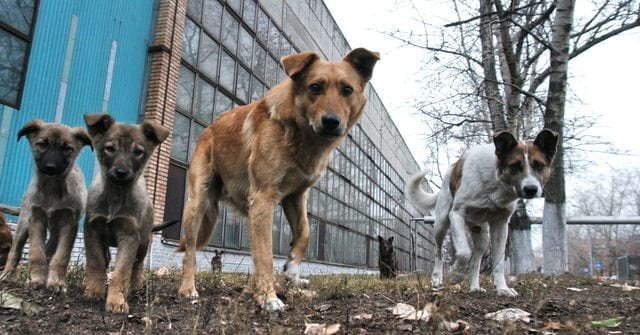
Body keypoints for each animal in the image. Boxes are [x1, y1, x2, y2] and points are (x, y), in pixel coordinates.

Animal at [0, 120, 91, 292]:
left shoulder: (69, 224)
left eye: (67, 149)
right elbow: (36, 252)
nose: (51, 167)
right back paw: (6, 274)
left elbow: (61, 255)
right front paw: (36, 279)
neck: (52, 188)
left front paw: (56, 282)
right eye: (42, 144)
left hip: (56, 231)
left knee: (50, 249)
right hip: (23, 223)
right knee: (15, 252)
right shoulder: (36, 219)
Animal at [84, 113, 171, 316]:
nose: (121, 172)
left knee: (137, 265)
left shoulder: (129, 235)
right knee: (106, 258)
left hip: (143, 242)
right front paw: (94, 290)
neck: (116, 195)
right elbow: (96, 261)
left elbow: (122, 271)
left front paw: (117, 301)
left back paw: (136, 286)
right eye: (110, 149)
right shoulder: (92, 229)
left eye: (138, 152)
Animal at [178, 48, 378, 312]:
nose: (331, 121)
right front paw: (268, 298)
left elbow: (304, 233)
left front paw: (292, 270)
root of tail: (208, 129)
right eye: (315, 87)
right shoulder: (264, 198)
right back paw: (188, 289)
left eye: (347, 90)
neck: (300, 134)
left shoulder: (295, 196)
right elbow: (265, 253)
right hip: (197, 203)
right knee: (190, 250)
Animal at [408, 130, 556, 298]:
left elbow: (498, 262)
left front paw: (503, 288)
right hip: (441, 224)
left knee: (476, 260)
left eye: (539, 165)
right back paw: (437, 279)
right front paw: (456, 274)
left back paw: (474, 287)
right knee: (438, 252)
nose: (531, 189)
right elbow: (464, 252)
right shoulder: (456, 215)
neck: (496, 181)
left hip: (482, 235)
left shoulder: (501, 225)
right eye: (515, 166)